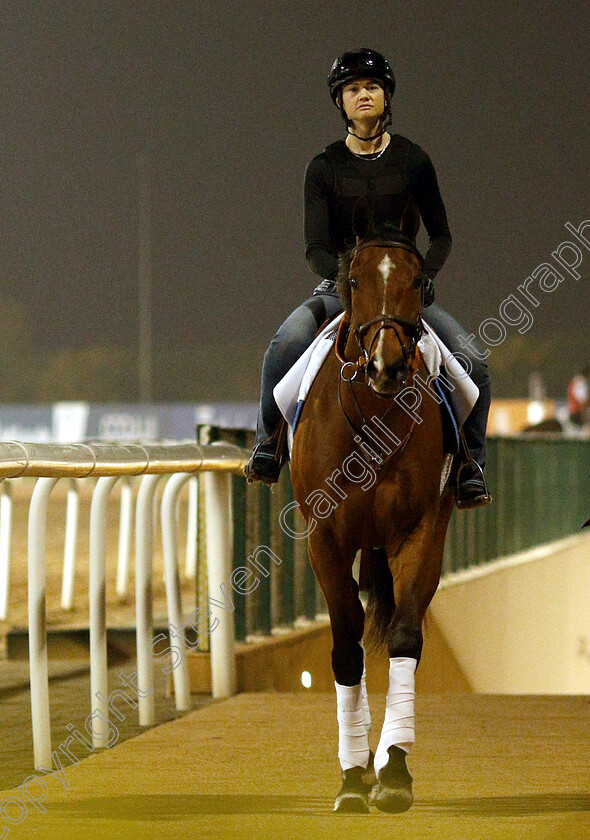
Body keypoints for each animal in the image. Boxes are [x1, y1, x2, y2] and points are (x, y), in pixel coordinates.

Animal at [292, 212, 458, 812]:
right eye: (356, 280)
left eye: (415, 280)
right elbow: (345, 649)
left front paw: (394, 770)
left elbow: (405, 637)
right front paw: (351, 775)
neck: (373, 417)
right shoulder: (326, 538)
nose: (386, 365)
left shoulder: (422, 528)